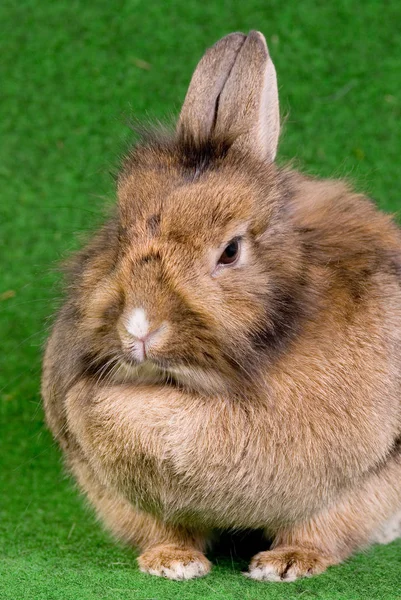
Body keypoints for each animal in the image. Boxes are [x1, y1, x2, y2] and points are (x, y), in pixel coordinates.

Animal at [40, 29, 400, 580]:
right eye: (119, 233)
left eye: (230, 251)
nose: (139, 328)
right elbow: (169, 529)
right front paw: (172, 563)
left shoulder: (355, 487)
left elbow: (319, 529)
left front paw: (286, 565)